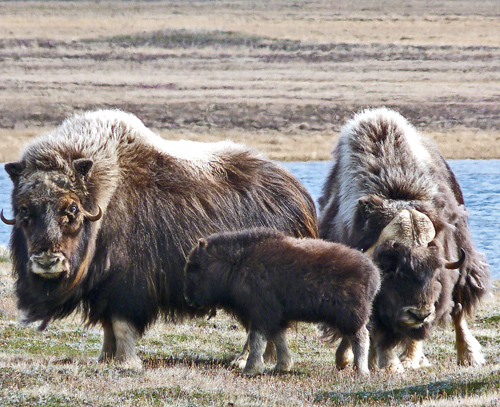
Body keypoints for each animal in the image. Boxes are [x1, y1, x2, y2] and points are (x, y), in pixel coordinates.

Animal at [184, 228, 378, 378]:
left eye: (195, 267)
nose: (188, 299)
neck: (236, 263)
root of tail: (374, 273)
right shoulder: (276, 317)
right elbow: (279, 339)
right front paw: (282, 365)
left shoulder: (261, 313)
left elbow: (256, 340)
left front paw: (250, 369)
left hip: (351, 316)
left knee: (360, 338)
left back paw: (362, 372)